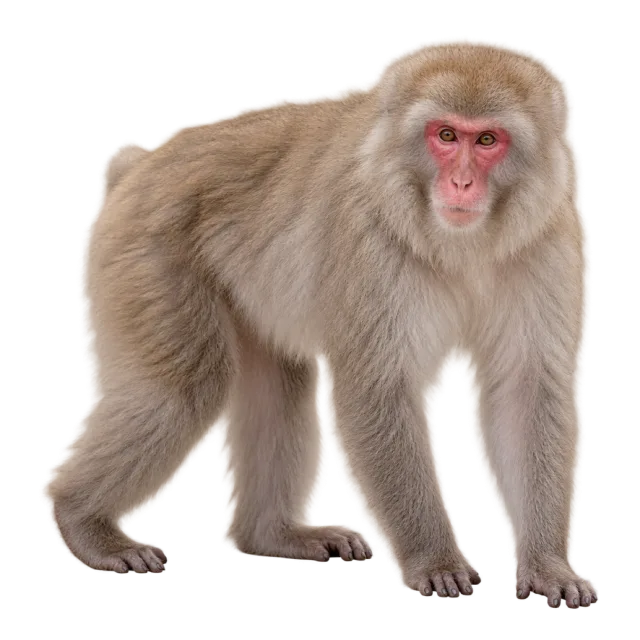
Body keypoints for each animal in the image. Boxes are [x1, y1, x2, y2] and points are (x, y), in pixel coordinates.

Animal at [45, 37, 597, 607]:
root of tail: (139, 166)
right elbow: (376, 389)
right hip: (149, 252)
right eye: (445, 135)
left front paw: (549, 566)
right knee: (184, 386)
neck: (461, 242)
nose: (461, 183)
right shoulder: (368, 232)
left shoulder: (549, 237)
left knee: (276, 382)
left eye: (487, 139)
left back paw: (271, 534)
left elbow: (527, 391)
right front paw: (436, 560)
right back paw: (81, 520)